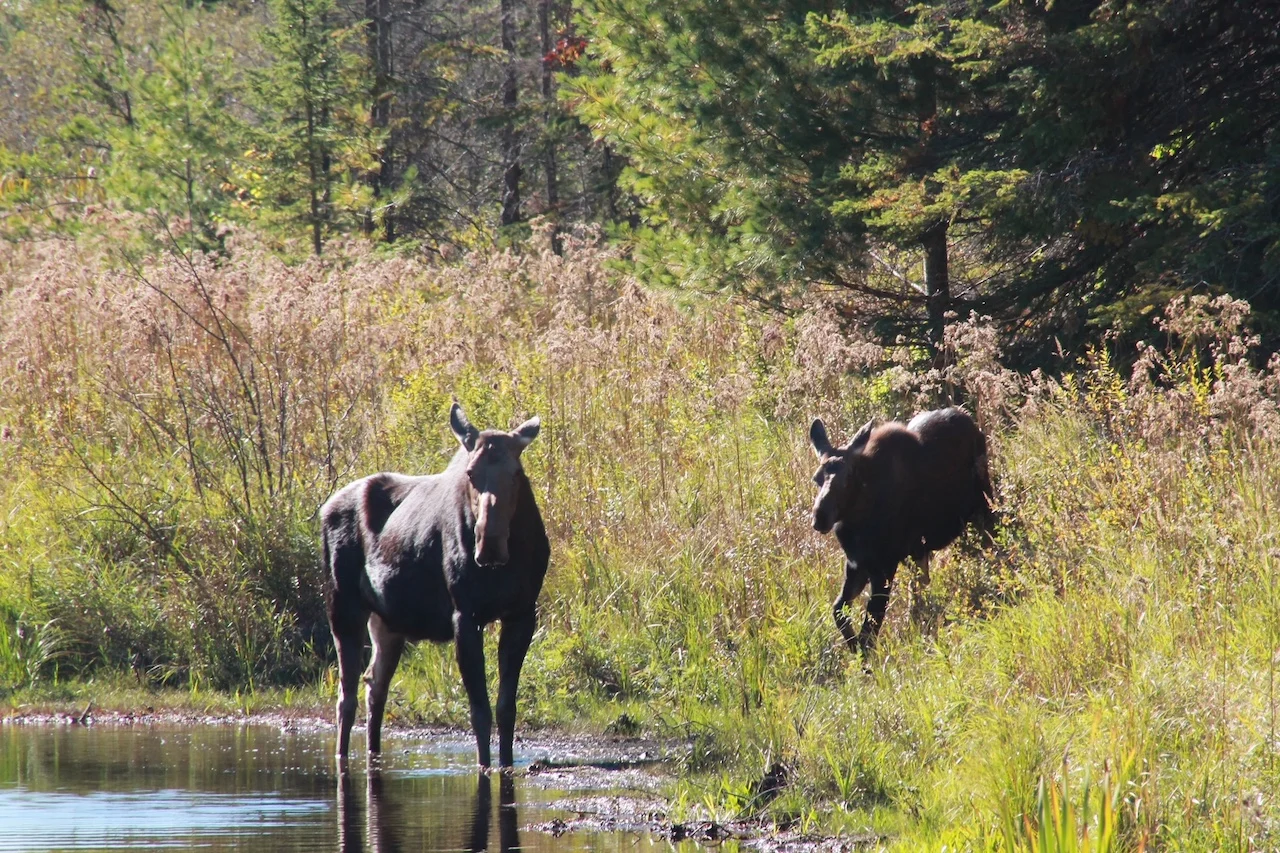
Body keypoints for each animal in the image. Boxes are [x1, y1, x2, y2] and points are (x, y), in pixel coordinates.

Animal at [320, 402, 550, 768]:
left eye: (516, 473)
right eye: (470, 473)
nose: (490, 545)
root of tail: (323, 508)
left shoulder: (522, 612)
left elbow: (506, 709)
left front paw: (506, 764)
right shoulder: (465, 615)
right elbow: (480, 711)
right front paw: (484, 766)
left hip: (387, 621)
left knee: (375, 684)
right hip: (342, 605)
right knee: (347, 695)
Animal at [803, 404, 993, 650]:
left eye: (847, 478)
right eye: (816, 478)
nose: (820, 518)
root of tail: (970, 421)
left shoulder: (883, 567)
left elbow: (869, 630)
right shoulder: (857, 565)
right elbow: (839, 611)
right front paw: (852, 648)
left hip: (983, 506)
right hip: (920, 550)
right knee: (920, 582)